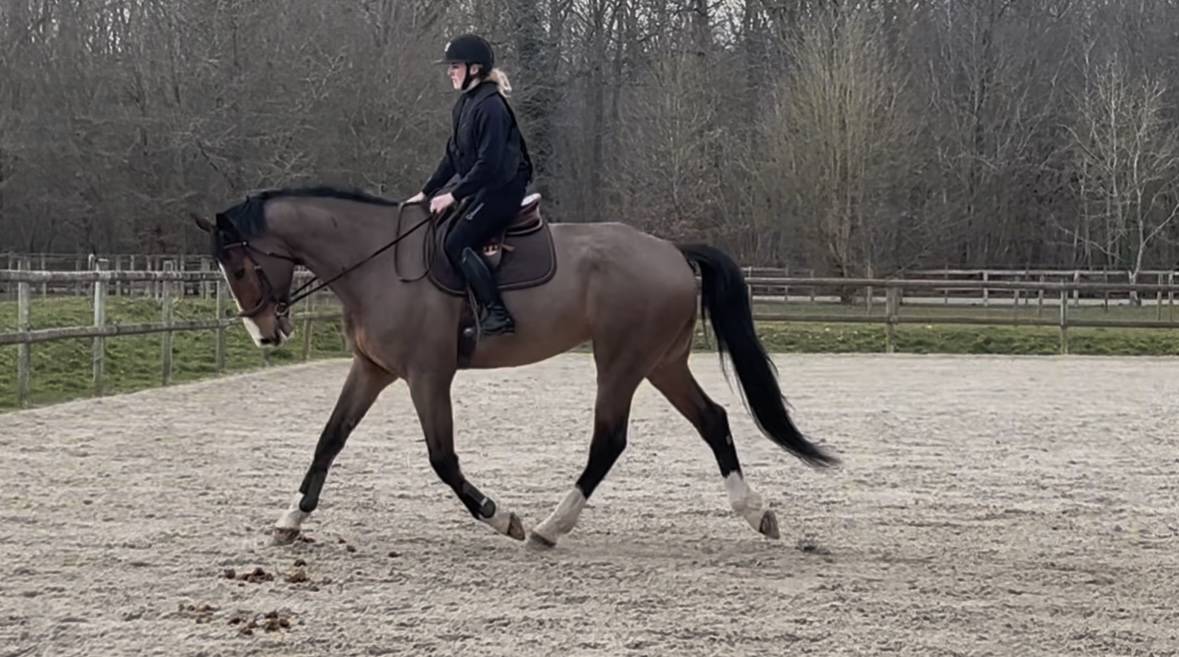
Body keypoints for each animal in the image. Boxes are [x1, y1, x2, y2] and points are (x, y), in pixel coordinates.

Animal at [193, 185, 839, 548]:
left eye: (242, 267)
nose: (265, 333)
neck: (376, 264)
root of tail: (673, 252)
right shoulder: (372, 370)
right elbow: (329, 440)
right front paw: (290, 520)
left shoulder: (428, 376)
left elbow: (443, 459)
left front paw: (499, 516)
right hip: (662, 362)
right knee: (713, 420)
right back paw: (756, 514)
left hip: (622, 360)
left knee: (609, 440)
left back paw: (550, 527)